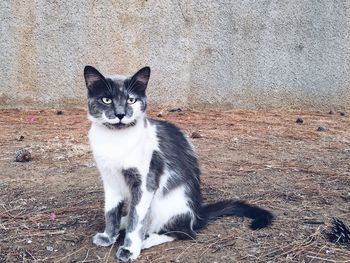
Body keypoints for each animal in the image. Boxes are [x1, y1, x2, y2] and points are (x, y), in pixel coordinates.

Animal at [82, 66, 274, 262]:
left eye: (131, 99)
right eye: (106, 100)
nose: (120, 114)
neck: (116, 140)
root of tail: (197, 214)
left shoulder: (145, 183)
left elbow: (137, 219)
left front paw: (129, 249)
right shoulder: (109, 179)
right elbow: (111, 211)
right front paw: (108, 236)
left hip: (168, 205)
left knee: (184, 232)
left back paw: (147, 240)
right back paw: (124, 222)